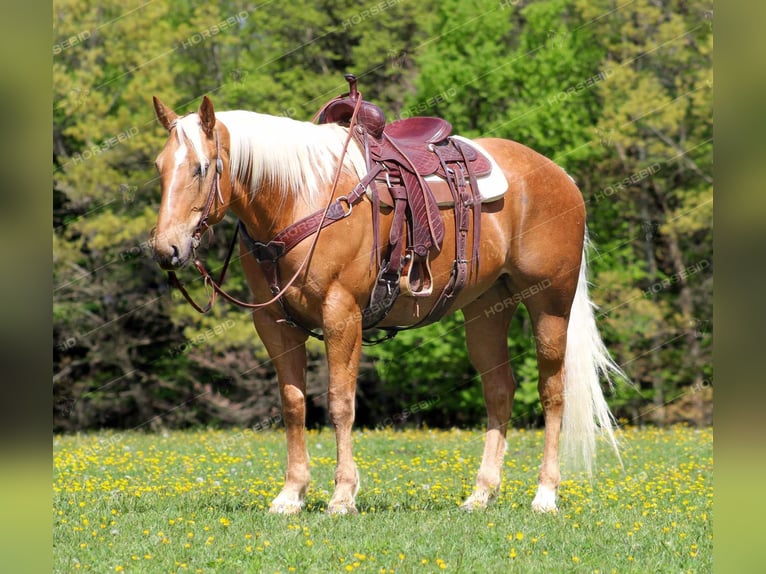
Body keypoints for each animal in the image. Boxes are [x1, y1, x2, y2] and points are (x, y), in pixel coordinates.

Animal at [150, 95, 624, 516]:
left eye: (201, 167)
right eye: (159, 167)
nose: (166, 249)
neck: (301, 197)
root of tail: (560, 175)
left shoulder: (342, 315)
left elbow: (341, 403)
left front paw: (343, 496)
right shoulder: (274, 322)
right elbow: (293, 403)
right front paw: (291, 495)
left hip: (550, 304)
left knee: (552, 393)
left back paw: (545, 496)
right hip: (487, 309)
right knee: (499, 391)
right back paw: (481, 494)